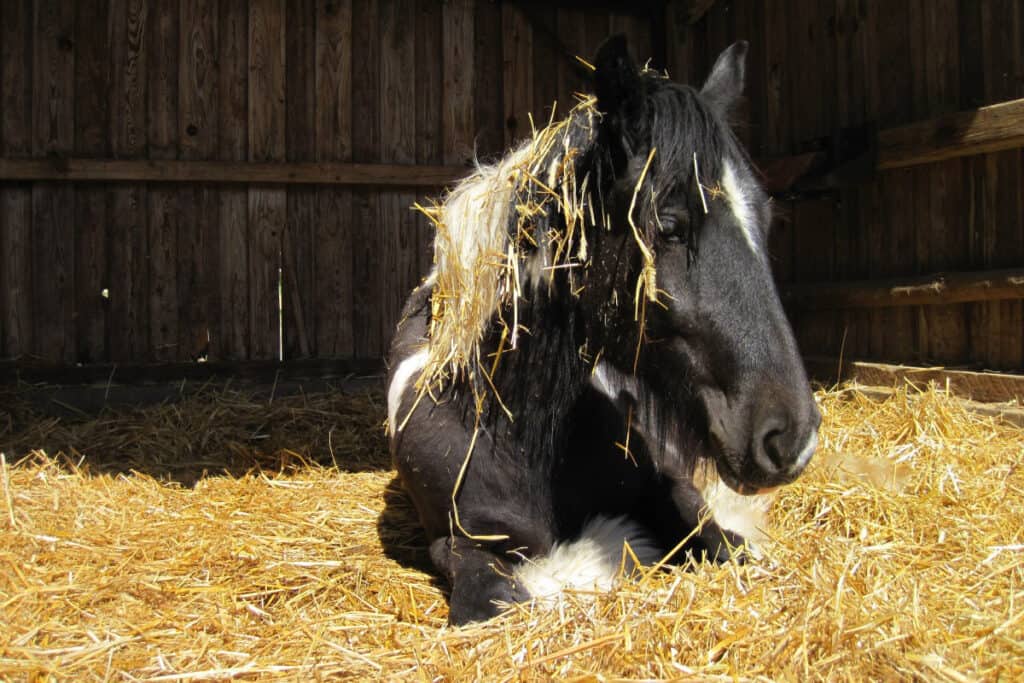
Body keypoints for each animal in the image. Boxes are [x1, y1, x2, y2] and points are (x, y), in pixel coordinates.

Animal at [386, 36, 821, 625]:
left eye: (766, 220)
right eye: (670, 225)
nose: (792, 437)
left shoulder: (673, 488)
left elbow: (722, 543)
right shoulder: (460, 547)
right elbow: (501, 593)